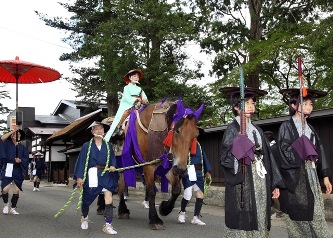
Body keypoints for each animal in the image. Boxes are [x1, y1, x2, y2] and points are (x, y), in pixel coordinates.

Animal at [116, 97, 205, 230]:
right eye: (177, 131)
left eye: (196, 135)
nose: (181, 169)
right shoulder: (148, 165)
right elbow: (152, 191)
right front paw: (154, 219)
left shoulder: (170, 165)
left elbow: (176, 190)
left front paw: (164, 208)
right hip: (124, 163)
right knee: (122, 184)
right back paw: (122, 210)